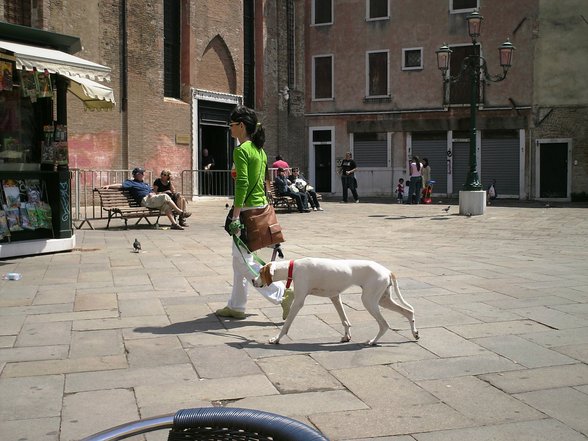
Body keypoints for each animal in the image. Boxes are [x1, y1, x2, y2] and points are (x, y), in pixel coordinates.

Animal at [253, 256, 418, 346]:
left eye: (260, 272)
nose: (253, 281)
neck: (293, 268)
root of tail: (387, 271)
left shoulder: (299, 302)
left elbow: (286, 325)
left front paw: (276, 339)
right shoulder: (335, 297)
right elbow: (345, 320)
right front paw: (347, 336)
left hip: (369, 300)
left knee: (384, 324)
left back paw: (373, 341)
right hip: (383, 299)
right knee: (408, 311)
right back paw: (415, 333)